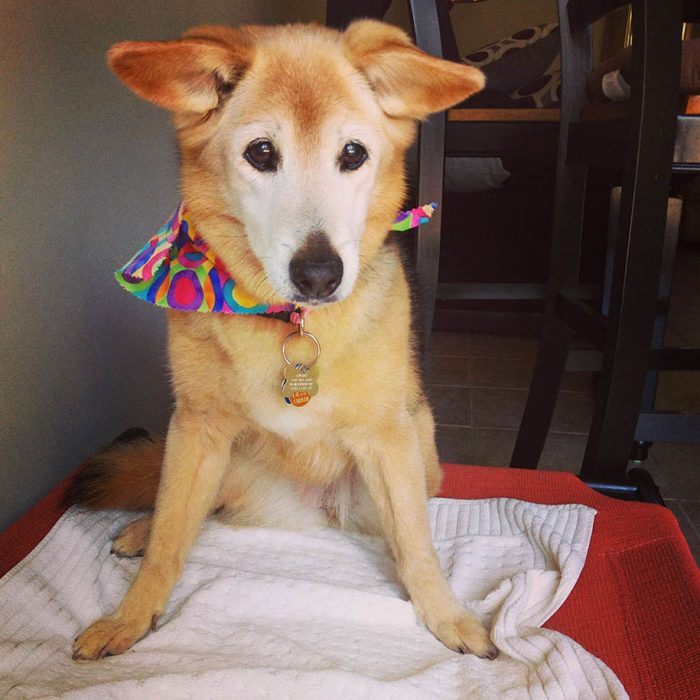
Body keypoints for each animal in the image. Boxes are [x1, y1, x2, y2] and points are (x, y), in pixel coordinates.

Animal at [67, 17, 492, 660]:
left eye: (353, 154)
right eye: (261, 153)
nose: (319, 275)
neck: (290, 322)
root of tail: (310, 509)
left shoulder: (387, 437)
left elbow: (418, 547)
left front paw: (445, 614)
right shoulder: (198, 426)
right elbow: (171, 537)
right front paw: (131, 615)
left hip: (418, 449)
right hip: (217, 456)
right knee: (184, 510)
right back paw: (141, 529)